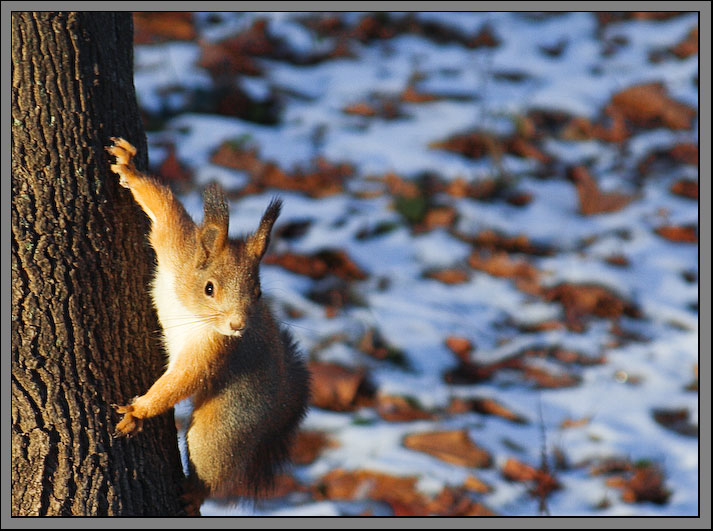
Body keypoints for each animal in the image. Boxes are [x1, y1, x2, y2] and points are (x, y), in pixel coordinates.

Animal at [105, 137, 308, 516]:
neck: (190, 308)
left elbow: (184, 378)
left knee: (212, 459)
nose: (238, 325)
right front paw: (129, 168)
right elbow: (166, 209)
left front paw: (139, 411)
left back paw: (193, 496)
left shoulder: (213, 348)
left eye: (258, 293)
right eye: (209, 288)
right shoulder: (177, 249)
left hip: (228, 423)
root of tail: (282, 407)